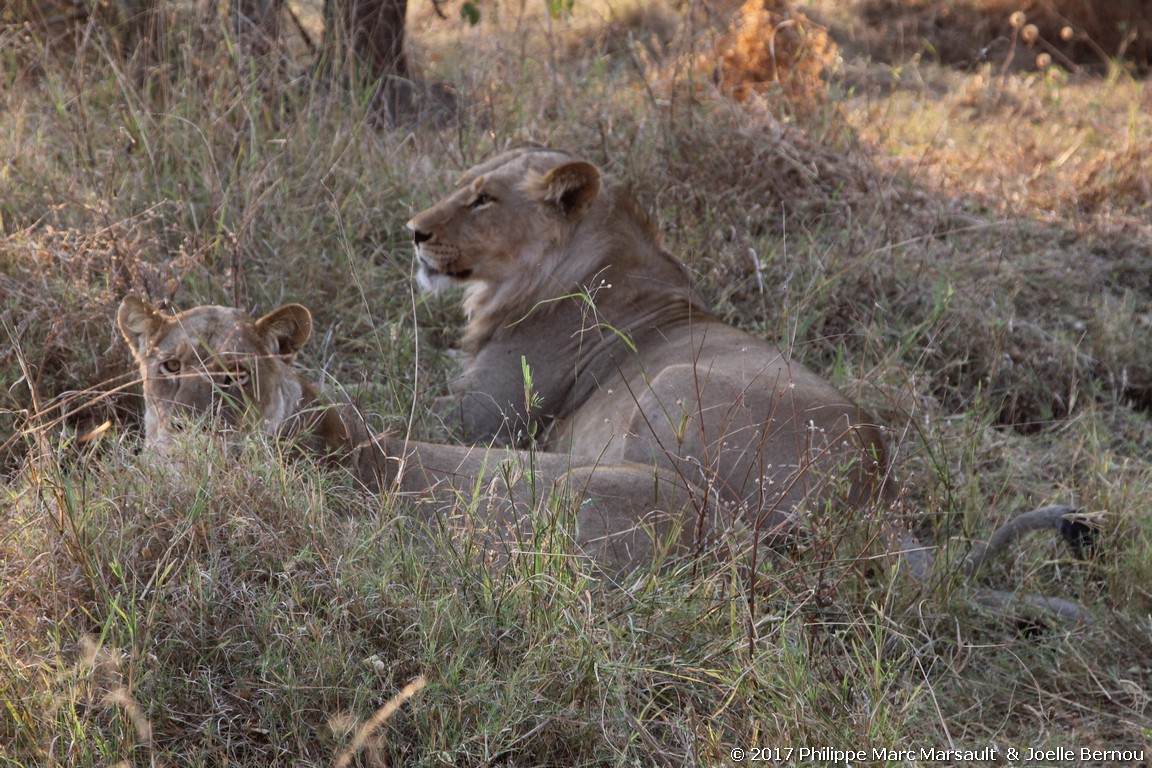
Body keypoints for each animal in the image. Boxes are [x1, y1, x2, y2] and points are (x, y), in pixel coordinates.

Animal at [410, 149, 1092, 626]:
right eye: (464, 186)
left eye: (483, 200)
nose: (412, 230)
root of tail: (877, 490)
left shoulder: (484, 416)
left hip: (674, 390)